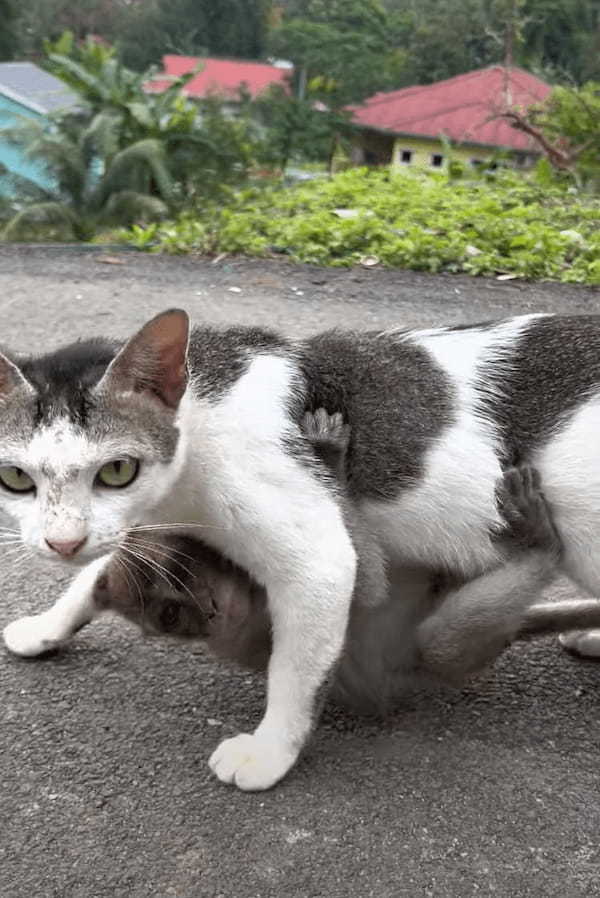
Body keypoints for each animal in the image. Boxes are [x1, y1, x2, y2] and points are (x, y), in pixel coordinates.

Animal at [1, 312, 600, 788]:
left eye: (117, 470)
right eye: (16, 478)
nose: (62, 542)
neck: (198, 424)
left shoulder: (320, 561)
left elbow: (293, 670)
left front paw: (271, 751)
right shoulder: (138, 525)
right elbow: (97, 568)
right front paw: (47, 625)